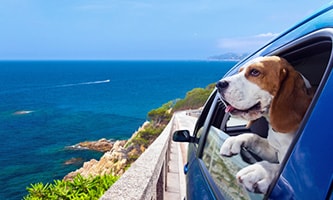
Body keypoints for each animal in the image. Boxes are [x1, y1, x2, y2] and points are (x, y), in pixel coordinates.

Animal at [215, 55, 312, 193]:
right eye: (240, 71)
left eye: (255, 72)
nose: (219, 84)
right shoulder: (273, 151)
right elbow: (254, 137)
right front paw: (234, 140)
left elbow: (278, 168)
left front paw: (262, 171)